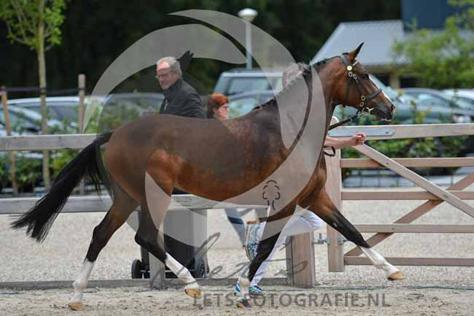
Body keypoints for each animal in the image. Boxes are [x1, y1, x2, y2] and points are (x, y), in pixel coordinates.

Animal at [12, 43, 402, 310]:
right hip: (153, 193)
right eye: (362, 74)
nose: (389, 108)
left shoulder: (314, 197)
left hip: (126, 196)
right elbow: (264, 248)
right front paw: (242, 292)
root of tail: (115, 134)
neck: (291, 132)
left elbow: (351, 230)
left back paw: (77, 295)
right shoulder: (286, 202)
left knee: (100, 234)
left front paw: (393, 271)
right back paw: (191, 285)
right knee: (147, 237)